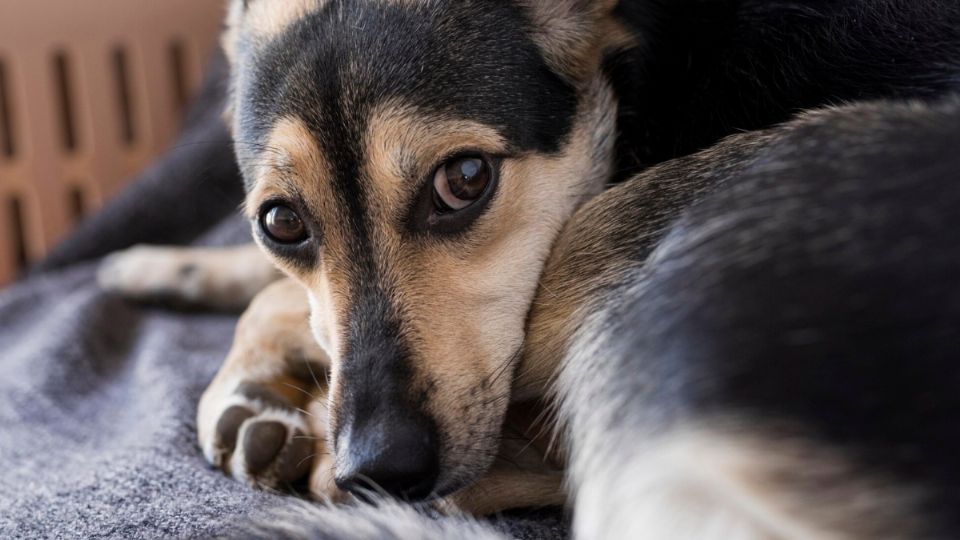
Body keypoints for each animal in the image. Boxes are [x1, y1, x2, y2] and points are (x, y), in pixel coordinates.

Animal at [97, 0, 960, 536]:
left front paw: (246, 381)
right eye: (282, 222)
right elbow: (275, 284)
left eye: (465, 179)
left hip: (670, 207)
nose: (378, 468)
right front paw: (161, 267)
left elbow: (277, 302)